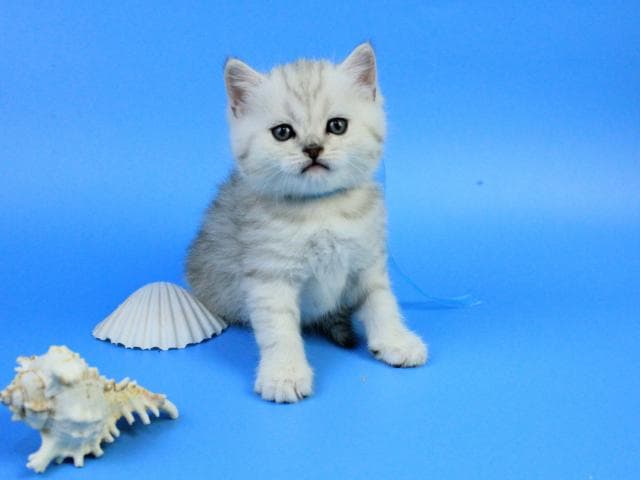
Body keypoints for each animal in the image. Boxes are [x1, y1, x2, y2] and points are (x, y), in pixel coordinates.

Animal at [186, 43, 427, 403]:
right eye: (283, 132)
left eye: (337, 126)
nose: (313, 148)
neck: (321, 210)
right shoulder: (270, 277)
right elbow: (279, 329)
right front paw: (284, 374)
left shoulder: (368, 262)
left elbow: (382, 302)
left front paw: (395, 340)